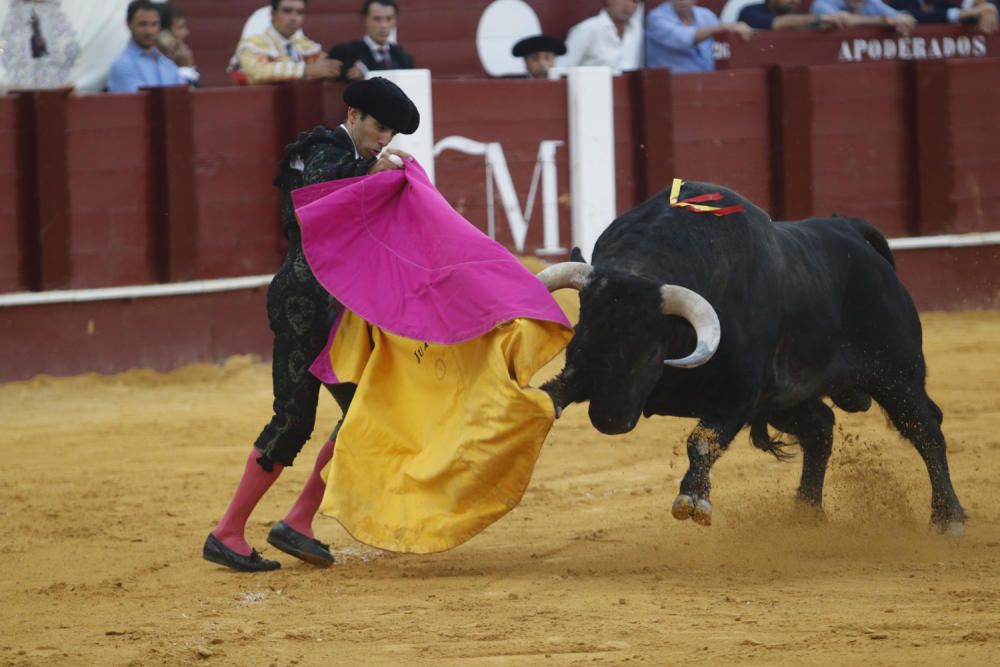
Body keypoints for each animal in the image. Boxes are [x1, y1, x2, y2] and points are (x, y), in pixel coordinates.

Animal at [540, 180, 968, 536]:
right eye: (582, 337)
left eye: (648, 349)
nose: (608, 420)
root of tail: (851, 230)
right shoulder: (584, 369)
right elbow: (554, 391)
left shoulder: (739, 393)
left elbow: (703, 440)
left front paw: (693, 499)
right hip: (786, 399)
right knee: (821, 427)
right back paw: (805, 513)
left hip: (896, 374)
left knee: (926, 429)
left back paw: (948, 518)